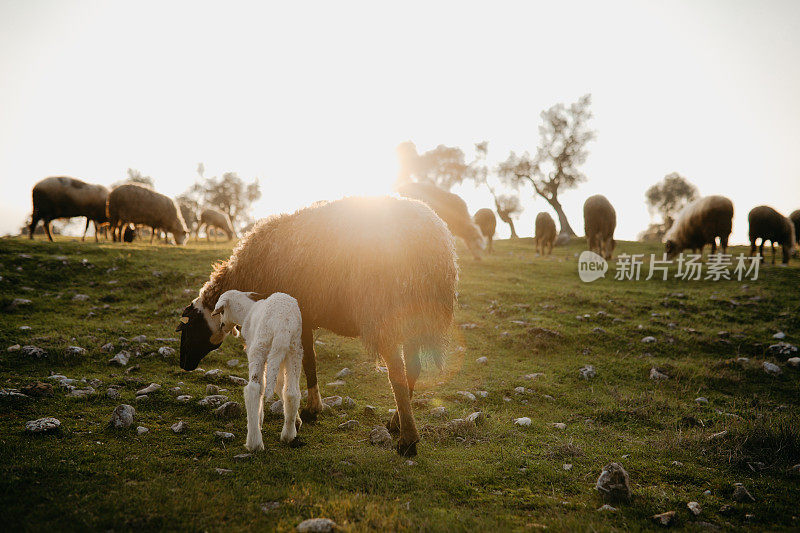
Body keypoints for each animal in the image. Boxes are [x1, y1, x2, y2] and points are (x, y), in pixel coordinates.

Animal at [209, 290, 304, 448]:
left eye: (222, 311)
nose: (222, 326)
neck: (247, 311)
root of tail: (283, 325)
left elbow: (262, 387)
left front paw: (259, 421)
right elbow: (278, 384)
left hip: (260, 346)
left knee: (253, 389)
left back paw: (254, 442)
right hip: (294, 349)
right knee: (292, 392)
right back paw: (288, 435)